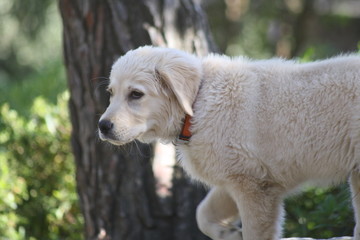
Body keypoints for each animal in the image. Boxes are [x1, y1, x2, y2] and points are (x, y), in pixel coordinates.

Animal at [97, 45, 360, 240]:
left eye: (136, 94)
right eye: (111, 93)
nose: (102, 126)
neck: (197, 104)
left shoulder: (254, 185)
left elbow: (255, 232)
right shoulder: (234, 176)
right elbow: (202, 213)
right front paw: (228, 233)